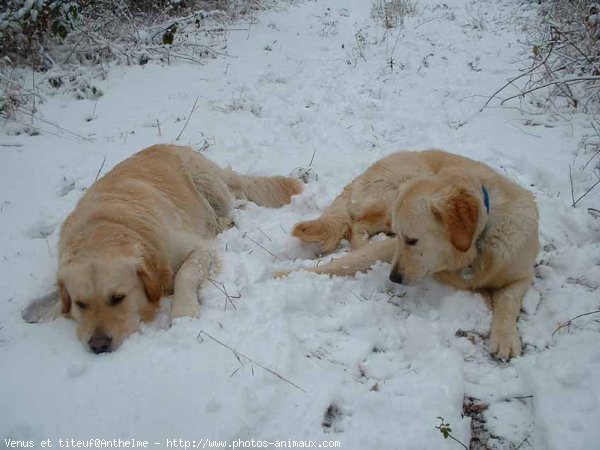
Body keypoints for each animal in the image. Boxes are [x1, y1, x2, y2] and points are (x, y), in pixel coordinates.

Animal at [25, 146, 302, 354]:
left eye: (118, 298)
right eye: (81, 303)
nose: (98, 345)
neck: (107, 228)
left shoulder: (199, 249)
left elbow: (185, 274)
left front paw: (183, 312)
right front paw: (44, 314)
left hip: (208, 185)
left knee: (233, 203)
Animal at [286, 149, 540, 360]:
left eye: (410, 239)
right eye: (402, 237)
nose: (393, 278)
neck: (478, 242)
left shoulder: (522, 274)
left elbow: (508, 301)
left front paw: (506, 338)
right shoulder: (391, 247)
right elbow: (347, 263)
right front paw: (286, 274)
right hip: (394, 194)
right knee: (357, 224)